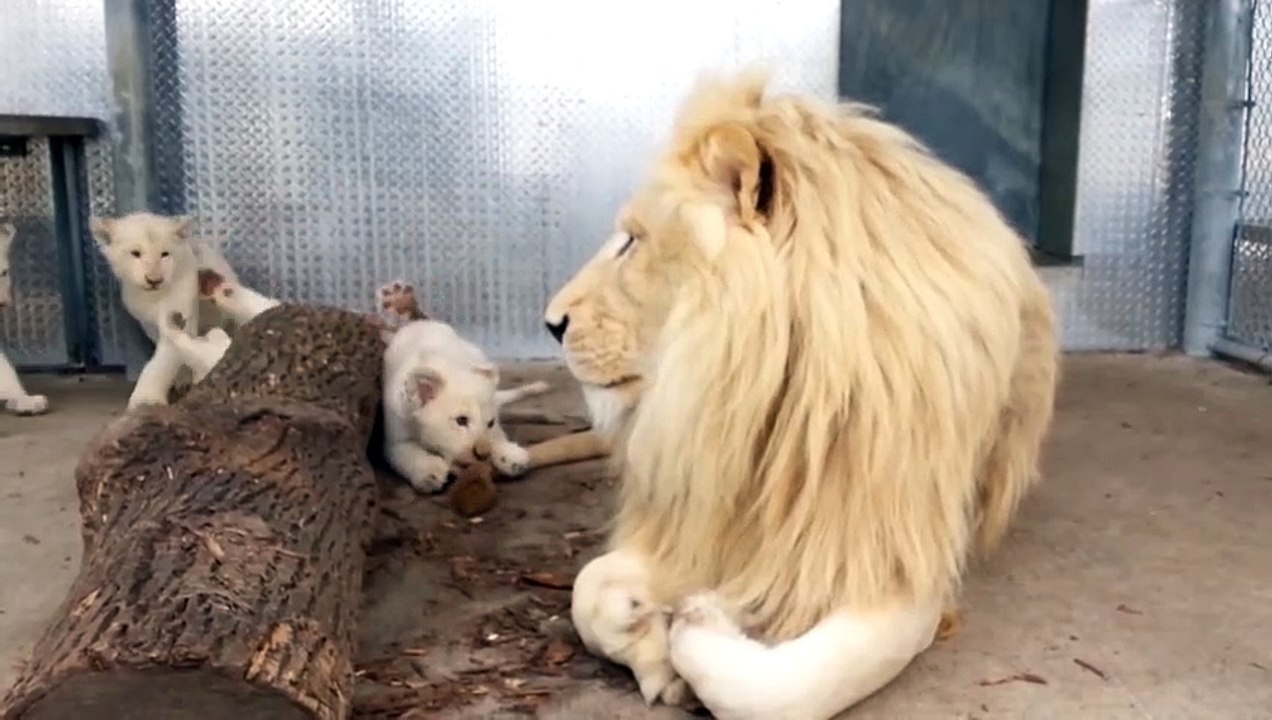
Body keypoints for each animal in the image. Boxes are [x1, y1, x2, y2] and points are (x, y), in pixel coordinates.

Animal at [552, 72, 1060, 719]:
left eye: (632, 242)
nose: (550, 324)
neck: (759, 408)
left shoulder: (896, 559)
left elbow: (779, 691)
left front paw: (703, 618)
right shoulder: (701, 511)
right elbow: (587, 589)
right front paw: (649, 644)